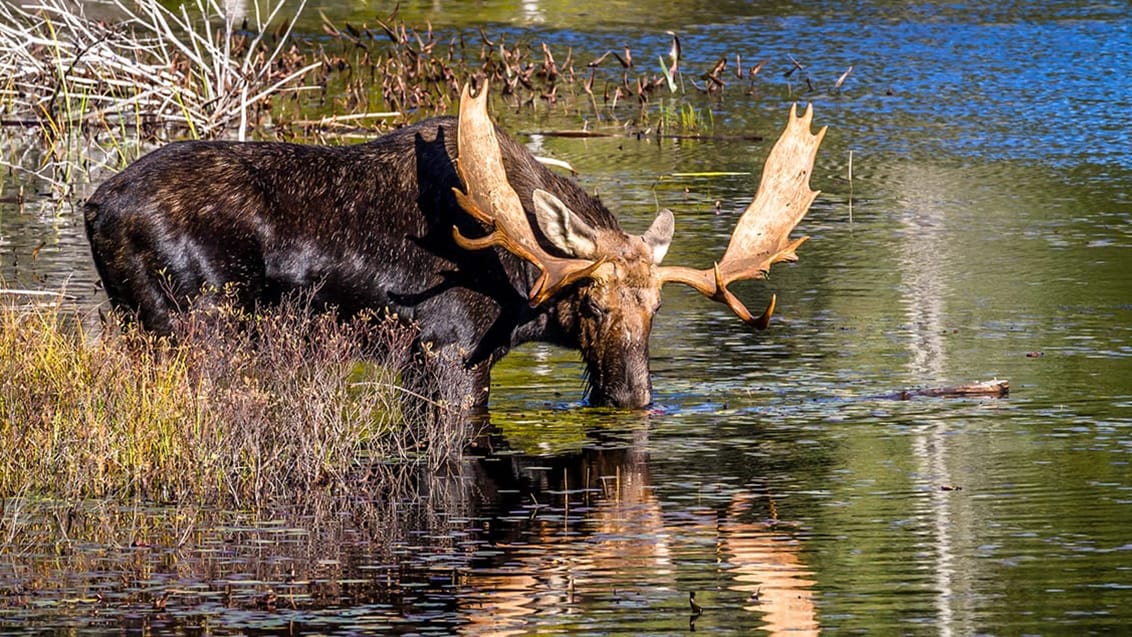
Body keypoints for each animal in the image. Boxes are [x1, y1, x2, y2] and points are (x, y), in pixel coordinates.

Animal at [79, 82, 824, 409]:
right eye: (593, 307)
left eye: (656, 311)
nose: (634, 396)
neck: (522, 297)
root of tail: (94, 206)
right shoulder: (447, 351)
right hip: (192, 323)